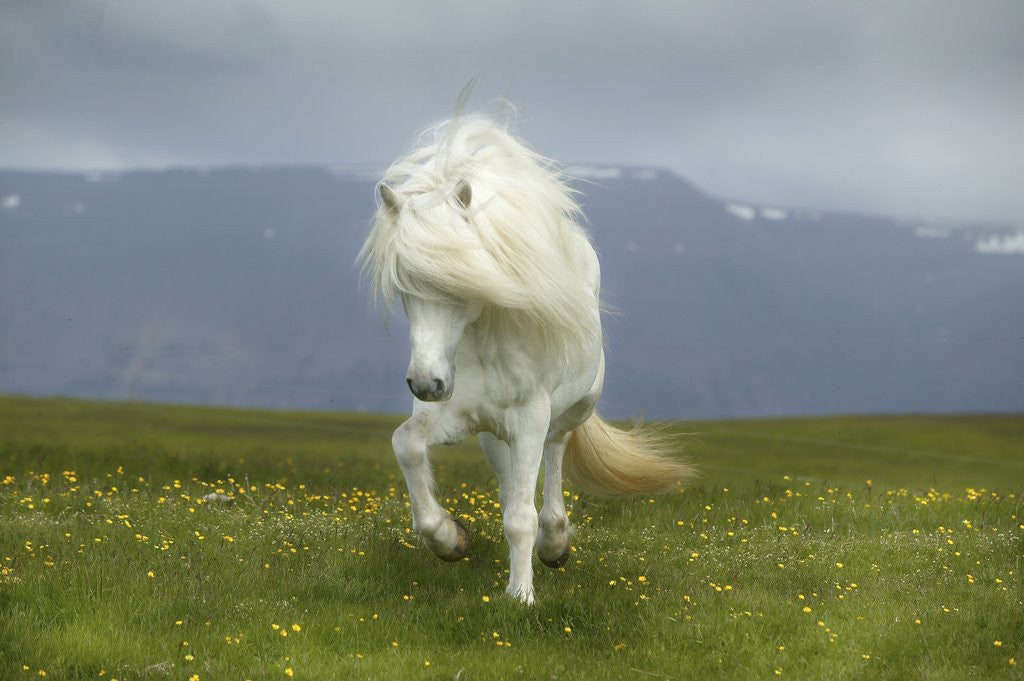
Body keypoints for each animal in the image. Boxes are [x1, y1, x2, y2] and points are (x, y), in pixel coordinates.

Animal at [358, 115, 692, 604]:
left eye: (460, 277)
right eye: (403, 285)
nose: (426, 383)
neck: (481, 342)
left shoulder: (530, 417)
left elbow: (521, 517)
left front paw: (520, 596)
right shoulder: (457, 416)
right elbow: (407, 444)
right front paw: (450, 539)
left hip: (567, 412)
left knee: (554, 456)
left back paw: (555, 544)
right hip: (493, 435)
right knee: (509, 479)